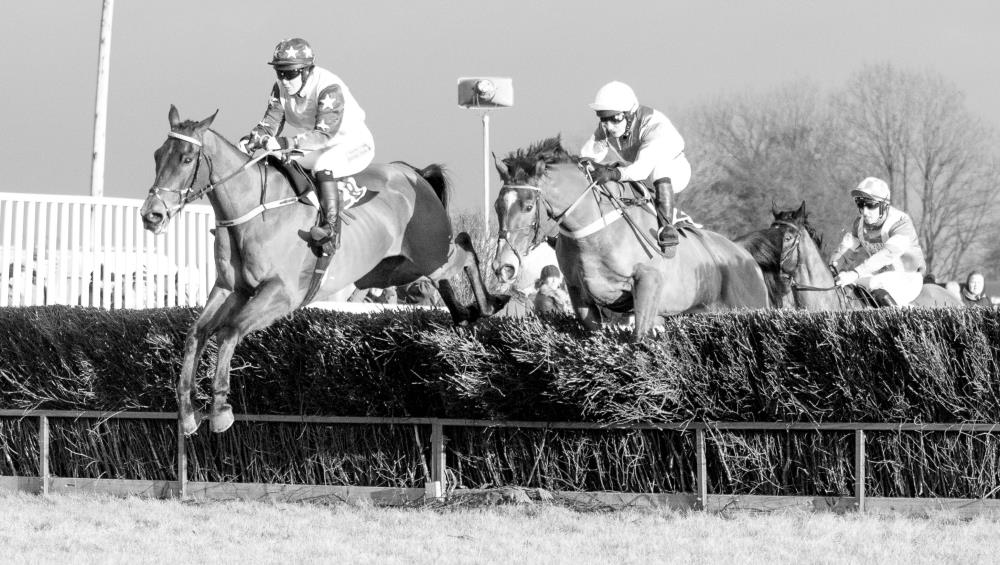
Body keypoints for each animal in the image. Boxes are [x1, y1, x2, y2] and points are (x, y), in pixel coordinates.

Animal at [140, 106, 505, 435]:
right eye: (157, 155)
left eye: (187, 158)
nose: (151, 215)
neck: (256, 212)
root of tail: (414, 174)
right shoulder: (231, 288)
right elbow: (196, 333)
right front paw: (187, 413)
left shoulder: (282, 293)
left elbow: (228, 333)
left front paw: (220, 409)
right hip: (397, 270)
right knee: (444, 274)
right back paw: (463, 314)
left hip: (428, 254)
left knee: (465, 248)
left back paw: (489, 304)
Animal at [491, 136, 771, 340]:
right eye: (497, 206)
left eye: (528, 206)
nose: (503, 266)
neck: (594, 232)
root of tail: (743, 253)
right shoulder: (579, 292)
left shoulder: (647, 283)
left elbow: (639, 336)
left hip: (748, 306)